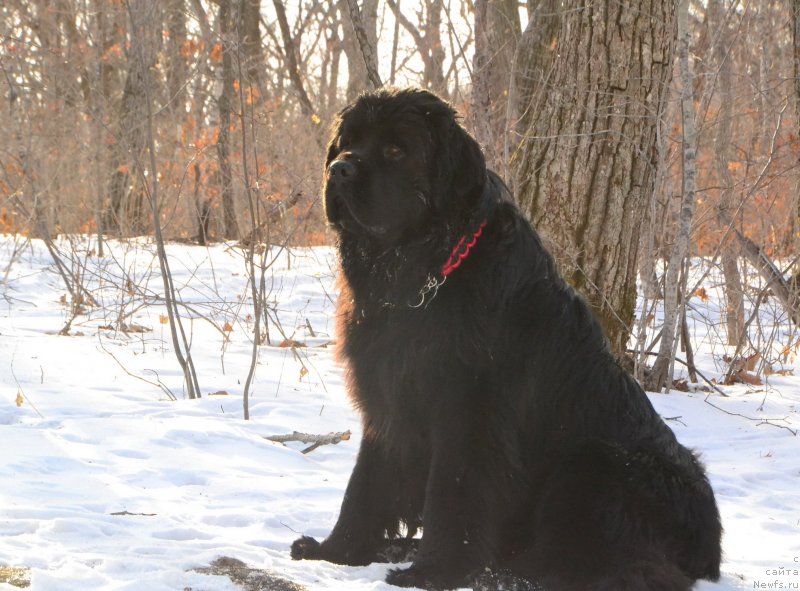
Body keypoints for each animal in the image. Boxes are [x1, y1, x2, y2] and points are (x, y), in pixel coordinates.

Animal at [290, 89, 720, 591]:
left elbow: (452, 497)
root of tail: (712, 548)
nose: (339, 169)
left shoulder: (470, 414)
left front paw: (434, 571)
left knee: (607, 566)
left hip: (595, 463)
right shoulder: (387, 403)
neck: (425, 273)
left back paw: (501, 571)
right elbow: (366, 485)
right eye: (347, 143)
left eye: (396, 150)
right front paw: (336, 552)